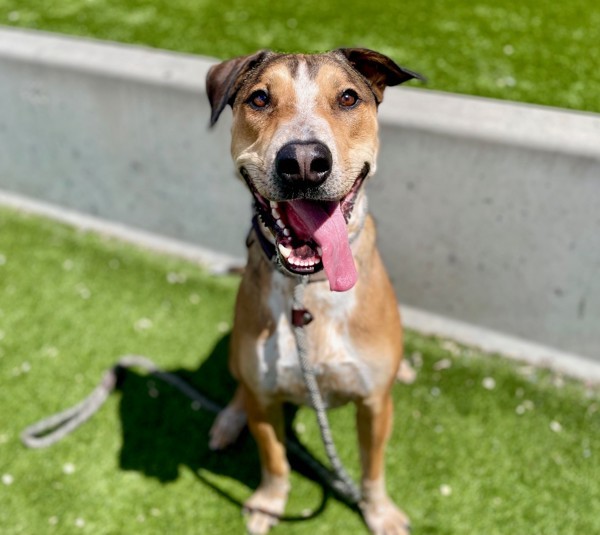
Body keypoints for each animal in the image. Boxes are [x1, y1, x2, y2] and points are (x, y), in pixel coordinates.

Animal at [206, 49, 422, 535]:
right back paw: (228, 420)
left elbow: (371, 468)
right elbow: (275, 461)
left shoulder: (375, 405)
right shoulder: (266, 401)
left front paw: (379, 512)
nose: (304, 161)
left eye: (348, 98)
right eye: (259, 98)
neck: (310, 289)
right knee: (240, 388)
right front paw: (269, 503)